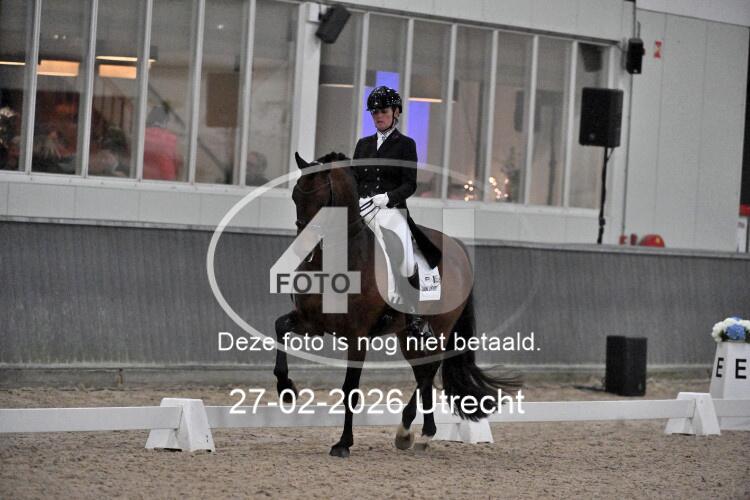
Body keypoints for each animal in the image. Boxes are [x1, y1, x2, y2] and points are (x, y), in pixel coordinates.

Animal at [273, 151, 521, 458]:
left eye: (322, 199)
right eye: (296, 195)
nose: (301, 249)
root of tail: (457, 248)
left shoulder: (357, 336)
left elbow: (350, 388)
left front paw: (343, 443)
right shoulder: (311, 322)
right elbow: (279, 328)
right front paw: (286, 389)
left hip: (439, 329)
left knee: (428, 370)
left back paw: (410, 431)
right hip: (408, 337)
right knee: (422, 372)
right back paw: (420, 434)